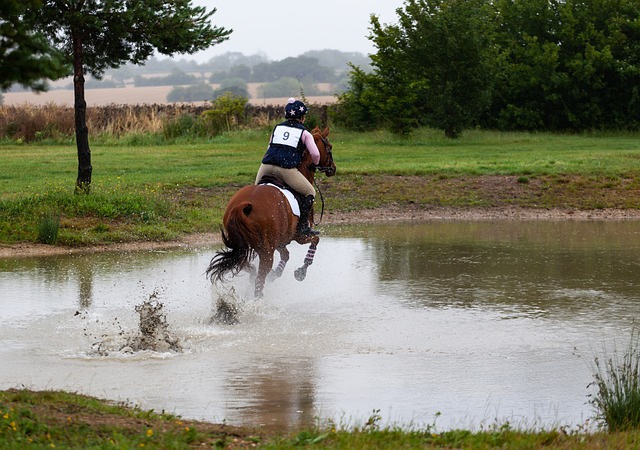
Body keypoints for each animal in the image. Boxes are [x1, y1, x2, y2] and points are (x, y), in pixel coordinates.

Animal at [206, 125, 338, 298]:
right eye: (329, 147)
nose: (333, 169)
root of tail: (244, 206)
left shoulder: (281, 239)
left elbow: (286, 255)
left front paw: (276, 274)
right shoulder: (299, 235)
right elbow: (315, 240)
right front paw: (301, 272)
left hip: (242, 244)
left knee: (243, 263)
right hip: (266, 251)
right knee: (259, 279)